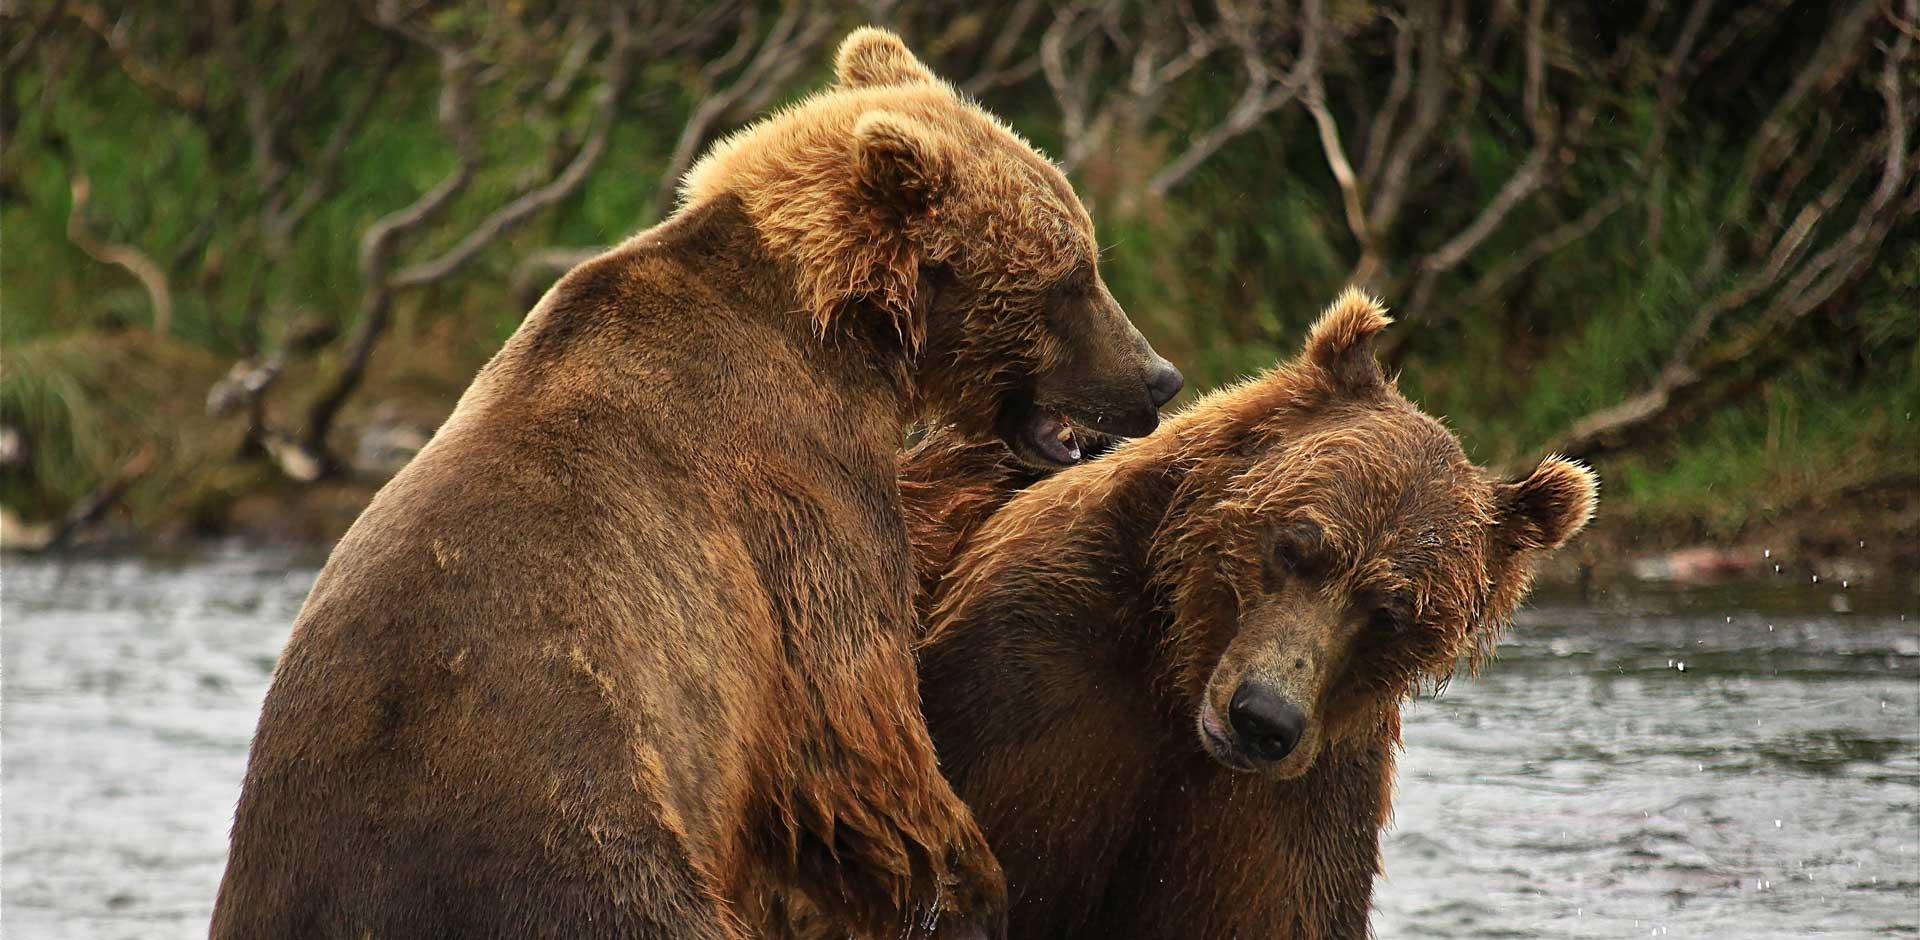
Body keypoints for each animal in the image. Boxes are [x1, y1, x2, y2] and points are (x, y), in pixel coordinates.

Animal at [206, 29, 1167, 940]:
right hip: (571, 839)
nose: (1158, 377)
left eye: (1086, 254)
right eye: (1072, 277)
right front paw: (962, 884)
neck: (837, 329)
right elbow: (853, 723)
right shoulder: (787, 497)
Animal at [906, 289, 1597, 936]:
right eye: (1294, 547)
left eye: (1390, 614)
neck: (1179, 678)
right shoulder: (1036, 681)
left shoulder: (1290, 814)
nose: (1262, 718)